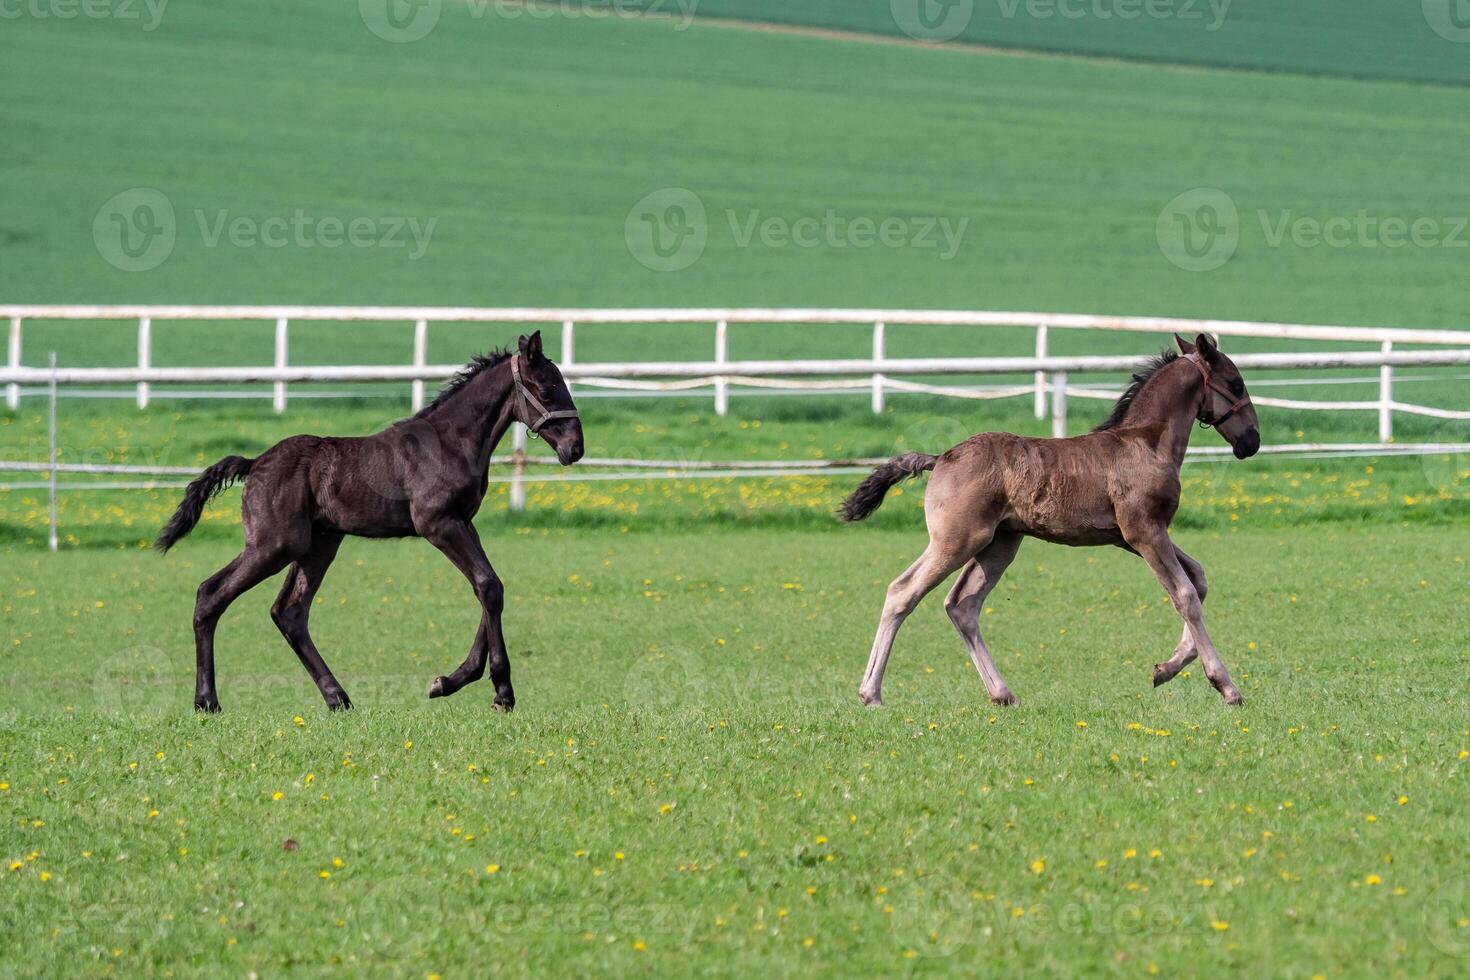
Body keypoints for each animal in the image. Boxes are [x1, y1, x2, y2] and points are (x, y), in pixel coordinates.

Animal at [846, 333, 1270, 708]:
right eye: (1235, 382)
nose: (1252, 441)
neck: (1145, 443)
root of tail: (941, 458)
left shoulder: (1133, 536)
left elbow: (1198, 578)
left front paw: (1165, 669)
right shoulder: (1144, 532)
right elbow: (1184, 595)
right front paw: (1225, 686)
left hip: (999, 544)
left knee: (962, 605)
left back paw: (1003, 694)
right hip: (957, 540)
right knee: (903, 591)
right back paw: (871, 695)